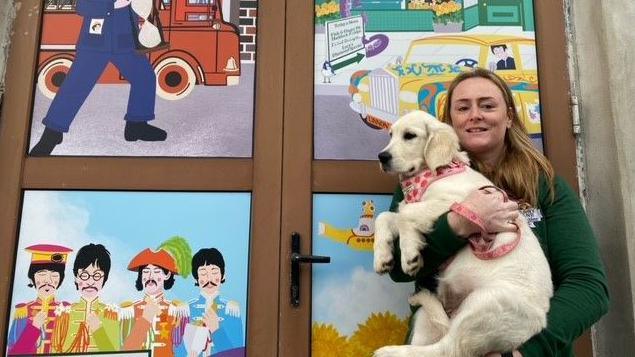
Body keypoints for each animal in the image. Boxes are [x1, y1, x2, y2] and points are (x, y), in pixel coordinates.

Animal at [372, 110, 552, 354]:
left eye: (409, 136)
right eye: (390, 134)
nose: (382, 157)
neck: (433, 172)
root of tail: (539, 322)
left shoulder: (455, 202)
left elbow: (405, 214)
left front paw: (409, 255)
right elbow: (386, 216)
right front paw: (383, 257)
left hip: (484, 305)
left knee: (447, 349)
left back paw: (390, 351)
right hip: (427, 320)